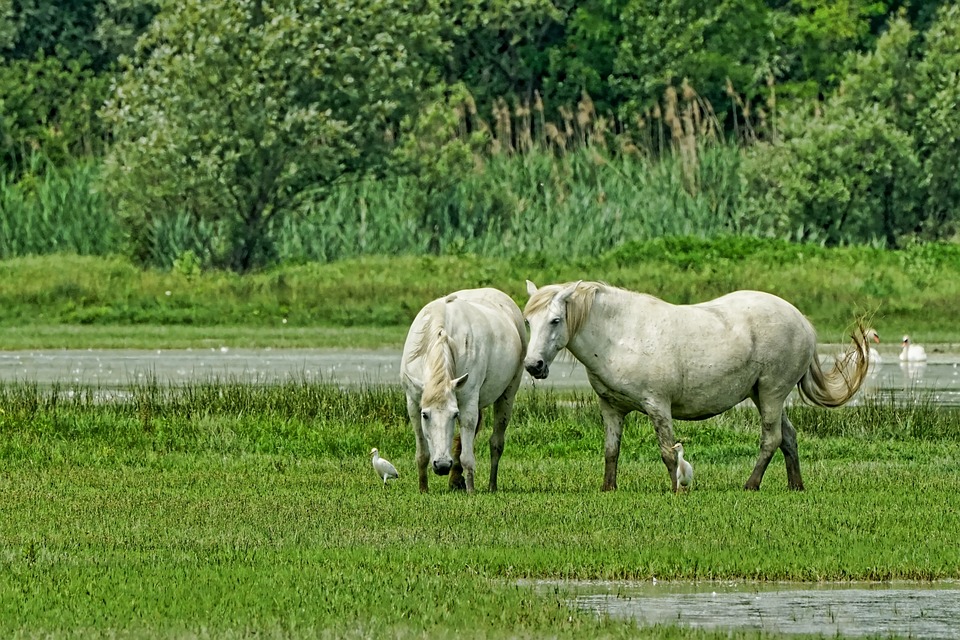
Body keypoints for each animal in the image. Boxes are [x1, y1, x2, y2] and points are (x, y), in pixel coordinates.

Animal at [402, 290, 528, 496]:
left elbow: (468, 455)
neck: (442, 337)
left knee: (496, 443)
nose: (442, 465)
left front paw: (471, 489)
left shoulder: (468, 404)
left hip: (507, 395)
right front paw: (423, 488)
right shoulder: (413, 403)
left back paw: (491, 485)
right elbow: (422, 453)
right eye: (425, 415)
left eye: (454, 415)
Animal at [520, 278, 872, 492]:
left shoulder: (657, 406)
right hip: (761, 394)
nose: (533, 365)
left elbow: (668, 452)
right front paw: (609, 489)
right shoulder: (611, 408)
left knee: (770, 439)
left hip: (772, 393)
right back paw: (795, 485)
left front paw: (675, 489)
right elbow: (611, 451)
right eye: (528, 321)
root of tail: (802, 322)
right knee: (788, 437)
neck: (621, 335)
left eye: (555, 320)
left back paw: (751, 485)